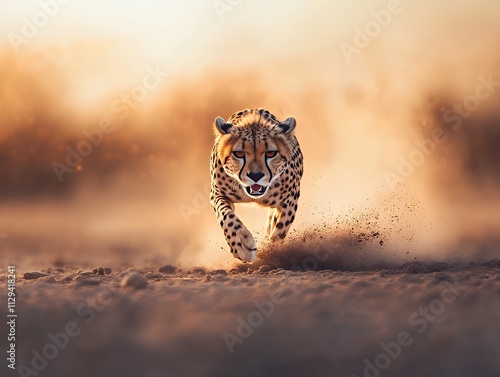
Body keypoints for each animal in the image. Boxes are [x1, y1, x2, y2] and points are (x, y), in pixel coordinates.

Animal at [209, 108, 302, 262]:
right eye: (239, 153)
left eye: (271, 153)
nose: (255, 176)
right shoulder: (217, 194)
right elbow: (226, 215)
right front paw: (240, 243)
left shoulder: (290, 199)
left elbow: (280, 229)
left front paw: (274, 253)